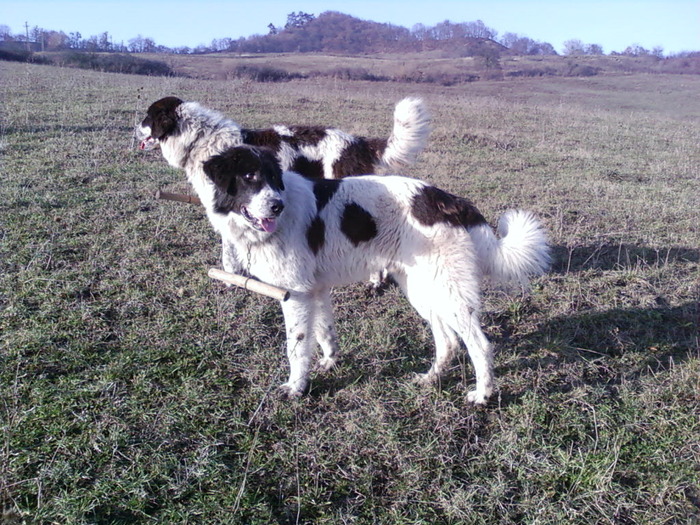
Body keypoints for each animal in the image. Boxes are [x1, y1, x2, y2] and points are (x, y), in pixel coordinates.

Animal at [200, 145, 548, 404]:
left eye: (273, 179)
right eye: (249, 177)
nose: (276, 207)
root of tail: (447, 199)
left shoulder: (295, 294)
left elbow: (296, 346)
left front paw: (296, 388)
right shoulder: (314, 290)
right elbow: (324, 331)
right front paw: (329, 362)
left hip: (448, 292)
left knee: (479, 344)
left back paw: (482, 395)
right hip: (422, 289)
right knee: (448, 340)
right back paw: (431, 377)